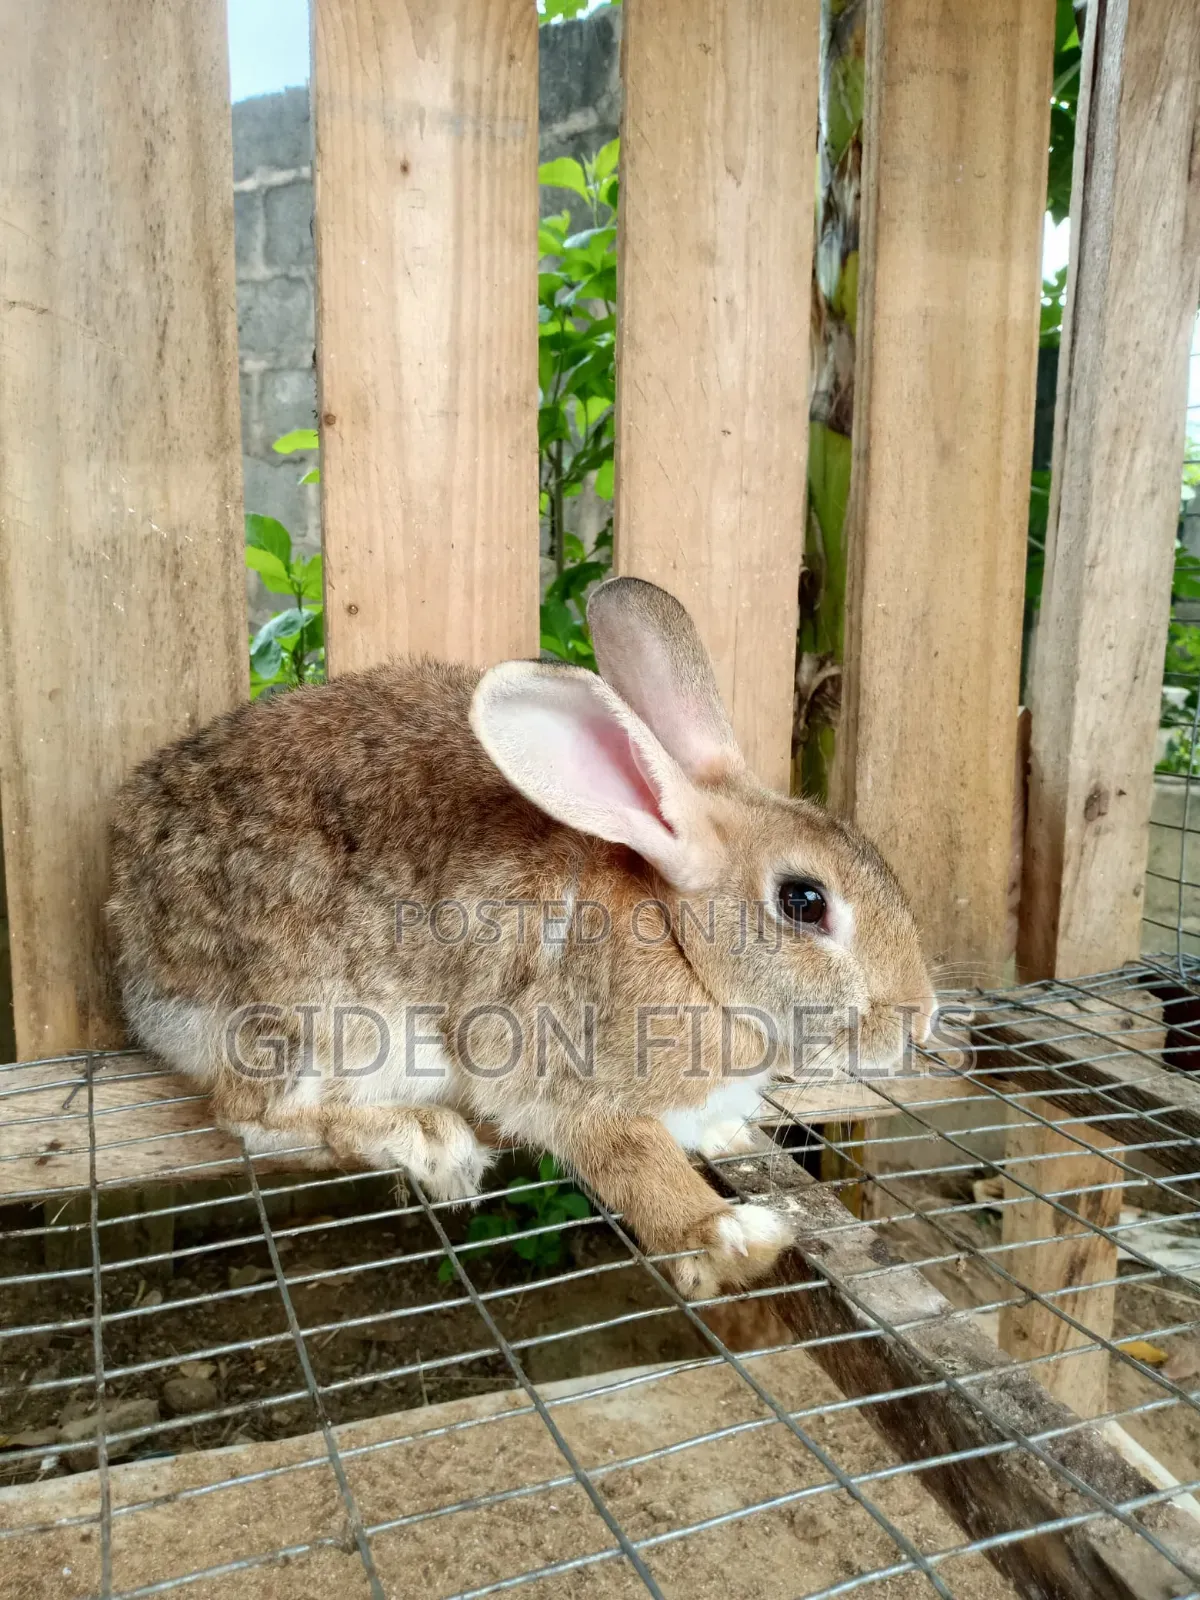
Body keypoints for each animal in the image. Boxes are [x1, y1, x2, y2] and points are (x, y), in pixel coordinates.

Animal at [106, 576, 936, 1297]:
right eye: (804, 901)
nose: (921, 1017)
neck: (684, 949)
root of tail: (129, 946)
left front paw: (729, 1135)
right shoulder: (570, 1075)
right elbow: (631, 1158)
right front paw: (728, 1238)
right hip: (319, 1015)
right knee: (253, 1116)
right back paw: (428, 1139)